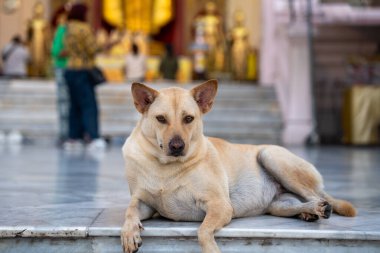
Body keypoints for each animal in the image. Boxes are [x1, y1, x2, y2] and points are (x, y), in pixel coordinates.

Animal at [119, 79, 356, 253]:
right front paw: (129, 233)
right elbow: (130, 211)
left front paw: (211, 249)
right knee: (299, 203)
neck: (166, 167)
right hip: (279, 204)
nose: (177, 146)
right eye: (161, 118)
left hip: (271, 156)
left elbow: (203, 231)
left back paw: (319, 207)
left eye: (188, 119)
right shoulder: (143, 203)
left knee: (317, 196)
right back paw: (308, 212)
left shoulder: (220, 205)